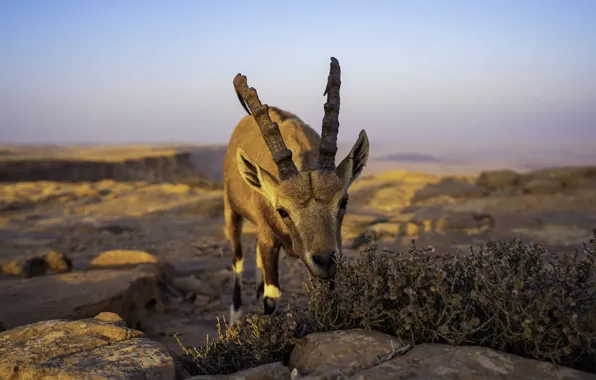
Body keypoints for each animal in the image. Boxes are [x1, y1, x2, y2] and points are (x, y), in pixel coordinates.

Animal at [224, 57, 368, 324]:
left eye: (343, 202)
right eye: (282, 211)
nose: (325, 260)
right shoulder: (269, 238)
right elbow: (272, 298)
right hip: (232, 211)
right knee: (237, 257)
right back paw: (236, 314)